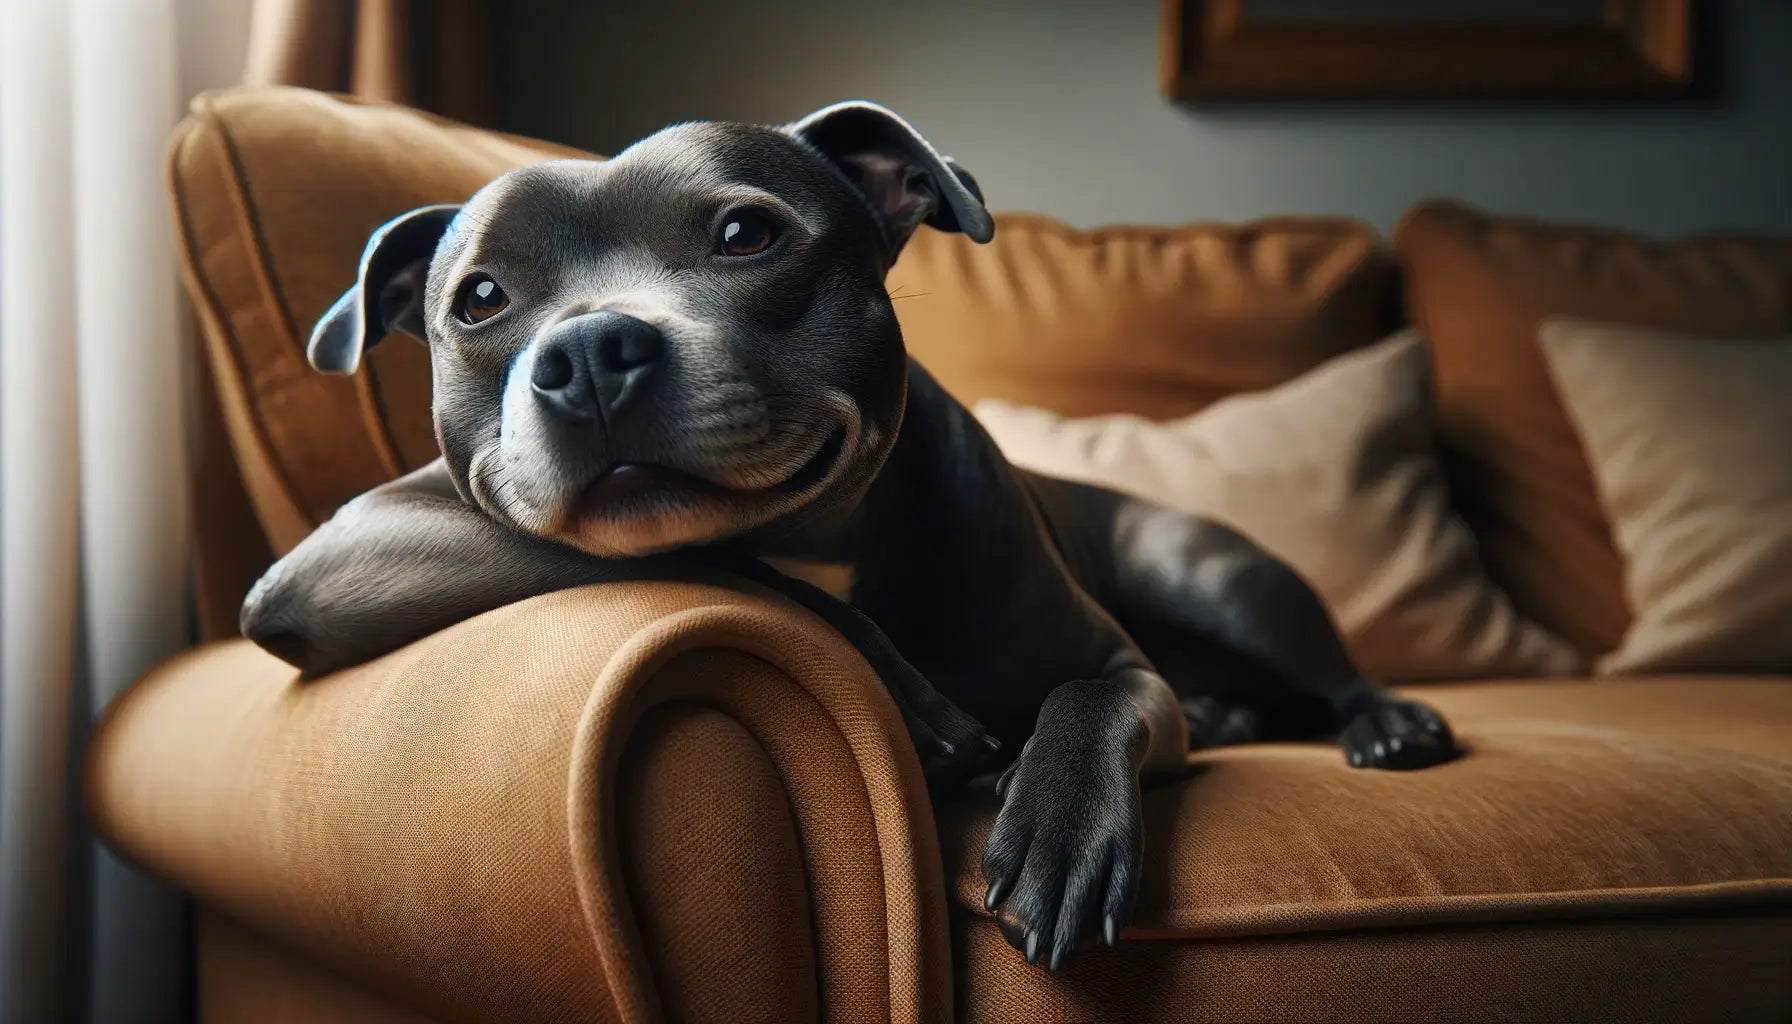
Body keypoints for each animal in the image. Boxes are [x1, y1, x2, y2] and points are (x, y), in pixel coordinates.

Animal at [245, 99, 1455, 975]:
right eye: (480, 299)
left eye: (746, 233)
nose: (586, 352)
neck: (818, 526)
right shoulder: (334, 558)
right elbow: (716, 557)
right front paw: (917, 706)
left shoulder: (1123, 671)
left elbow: (1088, 697)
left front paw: (1060, 830)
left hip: (1202, 569)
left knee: (1325, 675)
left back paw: (1387, 724)